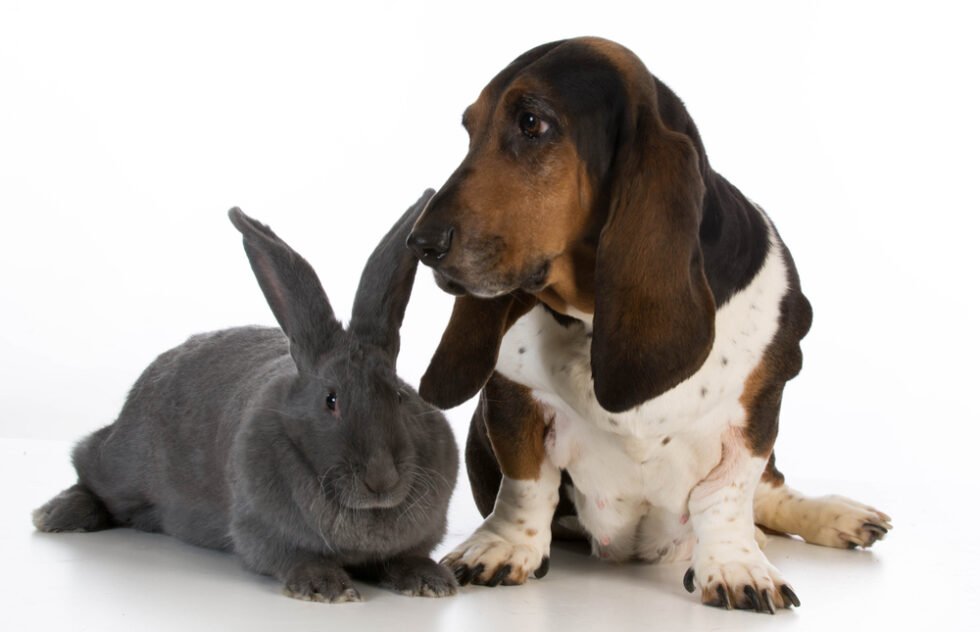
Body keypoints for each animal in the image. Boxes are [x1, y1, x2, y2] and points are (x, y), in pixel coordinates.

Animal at [33, 189, 460, 603]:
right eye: (331, 400)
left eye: (400, 396)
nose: (381, 479)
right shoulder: (262, 534)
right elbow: (296, 558)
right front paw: (327, 589)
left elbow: (407, 557)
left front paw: (432, 582)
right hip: (122, 463)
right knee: (86, 463)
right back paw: (55, 515)